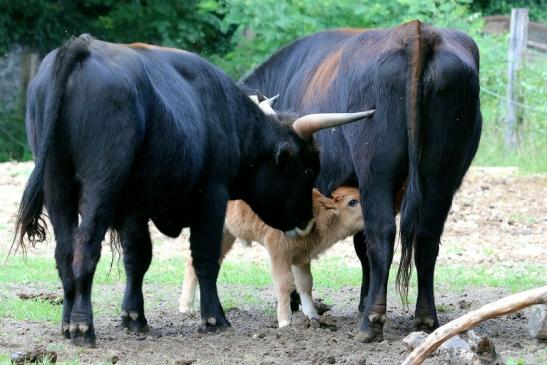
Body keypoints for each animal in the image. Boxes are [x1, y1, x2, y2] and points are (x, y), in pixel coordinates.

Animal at [13, 35, 372, 346]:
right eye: (308, 169)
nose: (307, 221)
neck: (228, 117)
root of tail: (81, 47)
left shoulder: (134, 208)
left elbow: (137, 258)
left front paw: (134, 317)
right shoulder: (211, 196)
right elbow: (205, 257)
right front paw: (214, 318)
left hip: (57, 186)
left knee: (63, 252)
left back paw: (66, 323)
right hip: (100, 186)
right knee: (84, 247)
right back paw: (82, 327)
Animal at [242, 19, 482, 340]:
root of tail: (414, 31)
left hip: (376, 172)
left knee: (383, 234)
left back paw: (372, 321)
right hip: (441, 175)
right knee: (426, 237)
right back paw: (425, 317)